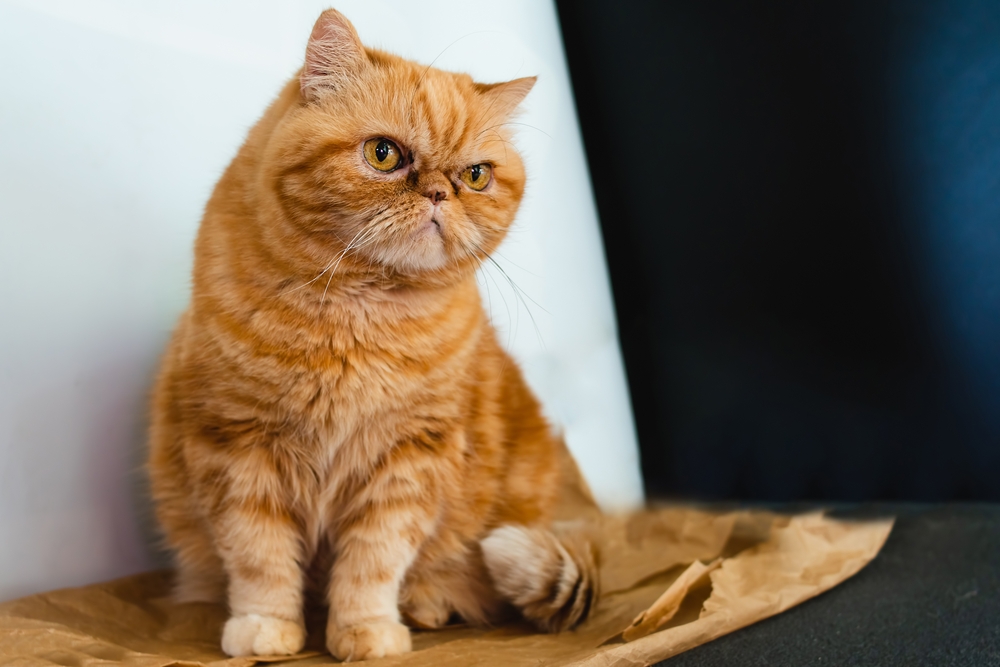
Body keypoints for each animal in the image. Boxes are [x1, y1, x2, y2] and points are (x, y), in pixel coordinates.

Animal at [146, 9, 592, 664]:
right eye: (384, 155)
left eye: (476, 176)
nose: (439, 192)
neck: (359, 317)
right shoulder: (238, 445)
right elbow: (259, 556)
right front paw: (266, 627)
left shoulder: (409, 457)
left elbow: (374, 560)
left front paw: (366, 631)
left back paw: (429, 603)